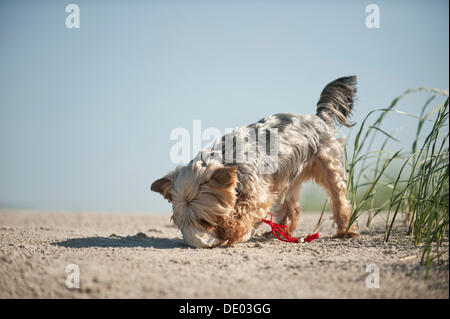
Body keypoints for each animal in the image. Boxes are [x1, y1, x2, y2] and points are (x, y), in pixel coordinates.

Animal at [153, 76, 360, 249]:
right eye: (182, 222)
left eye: (205, 220)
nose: (196, 238)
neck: (226, 160)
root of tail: (319, 118)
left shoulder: (259, 193)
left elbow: (245, 211)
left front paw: (231, 230)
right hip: (286, 177)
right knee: (291, 207)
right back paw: (279, 232)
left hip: (329, 166)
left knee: (339, 199)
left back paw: (345, 230)